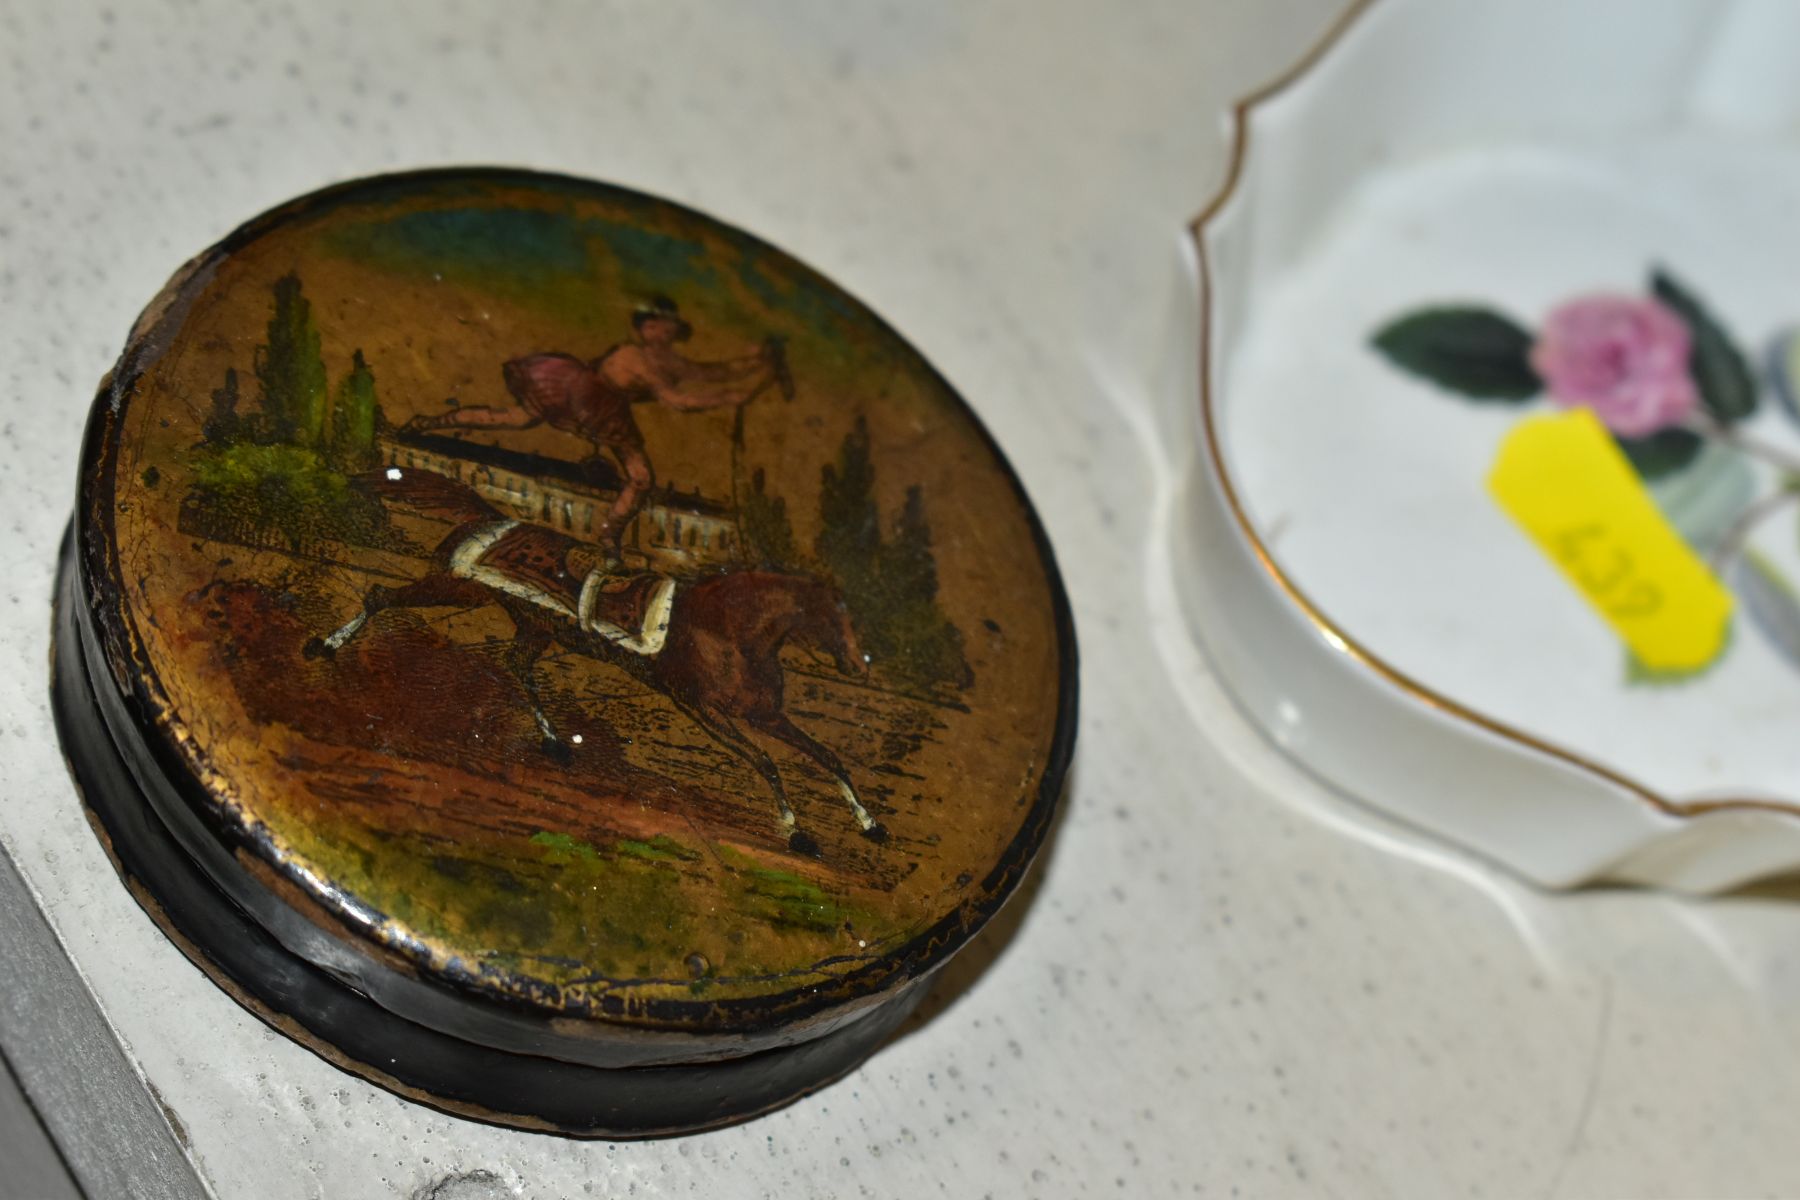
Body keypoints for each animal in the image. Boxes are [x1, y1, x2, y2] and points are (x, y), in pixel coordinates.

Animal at [307, 467, 885, 852]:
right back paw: (324, 646)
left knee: (516, 665)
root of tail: (492, 518)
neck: (726, 631)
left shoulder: (765, 714)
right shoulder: (701, 708)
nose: (860, 666)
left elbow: (828, 757)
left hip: (533, 625)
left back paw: (556, 744)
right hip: (458, 588)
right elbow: (766, 762)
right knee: (380, 596)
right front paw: (797, 833)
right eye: (835, 617)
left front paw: (871, 824)